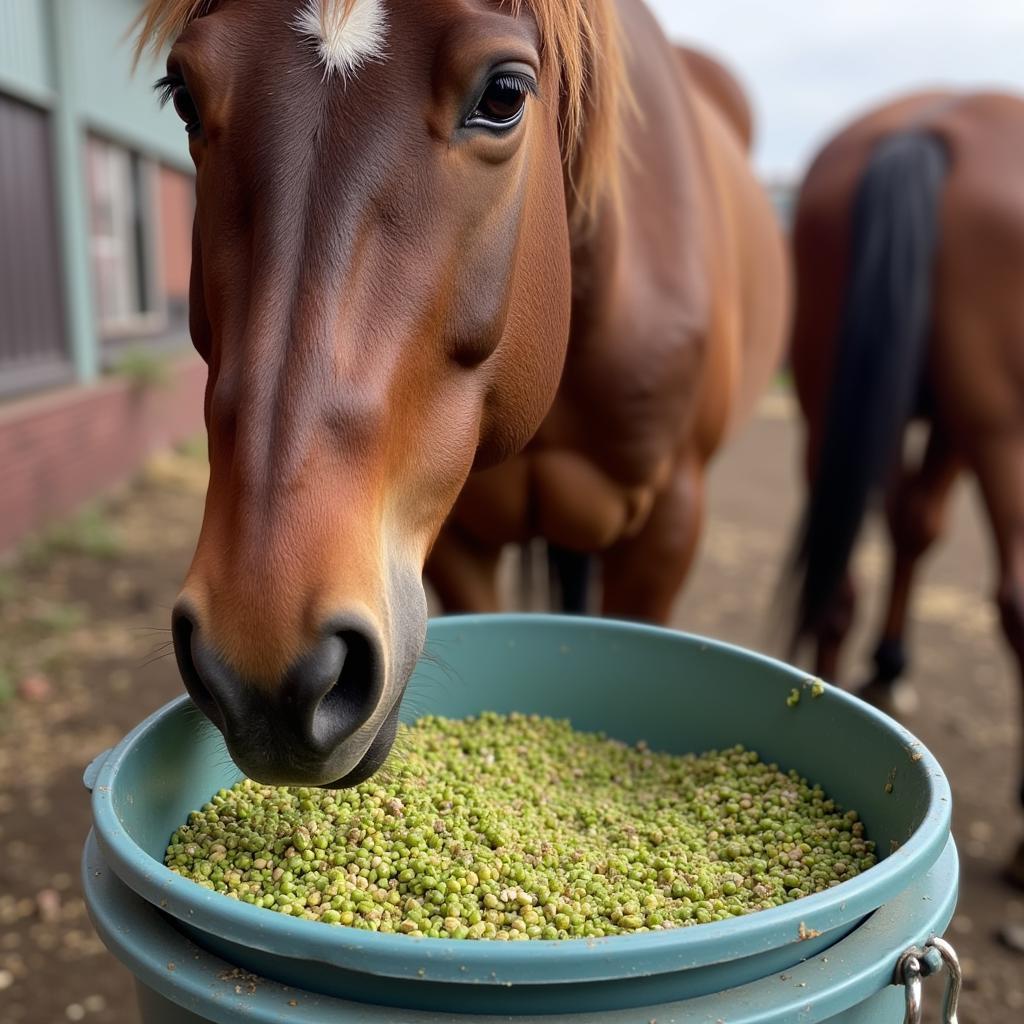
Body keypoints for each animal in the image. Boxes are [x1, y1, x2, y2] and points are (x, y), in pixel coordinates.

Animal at [782, 92, 1024, 884]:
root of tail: (937, 122)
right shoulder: (956, 422)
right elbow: (920, 525)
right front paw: (892, 665)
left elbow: (912, 523)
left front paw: (888, 666)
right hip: (1000, 419)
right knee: (1017, 597)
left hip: (828, 385)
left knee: (839, 579)